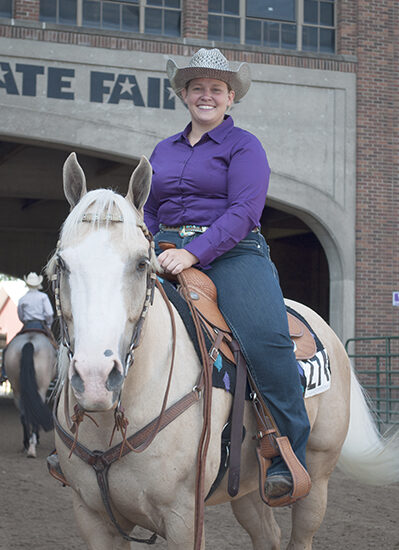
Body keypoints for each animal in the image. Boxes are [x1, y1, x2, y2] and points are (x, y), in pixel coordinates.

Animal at [47, 152, 399, 550]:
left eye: (141, 263)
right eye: (62, 263)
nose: (95, 379)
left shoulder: (185, 519)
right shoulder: (93, 518)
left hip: (317, 479)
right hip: (244, 487)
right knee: (268, 536)